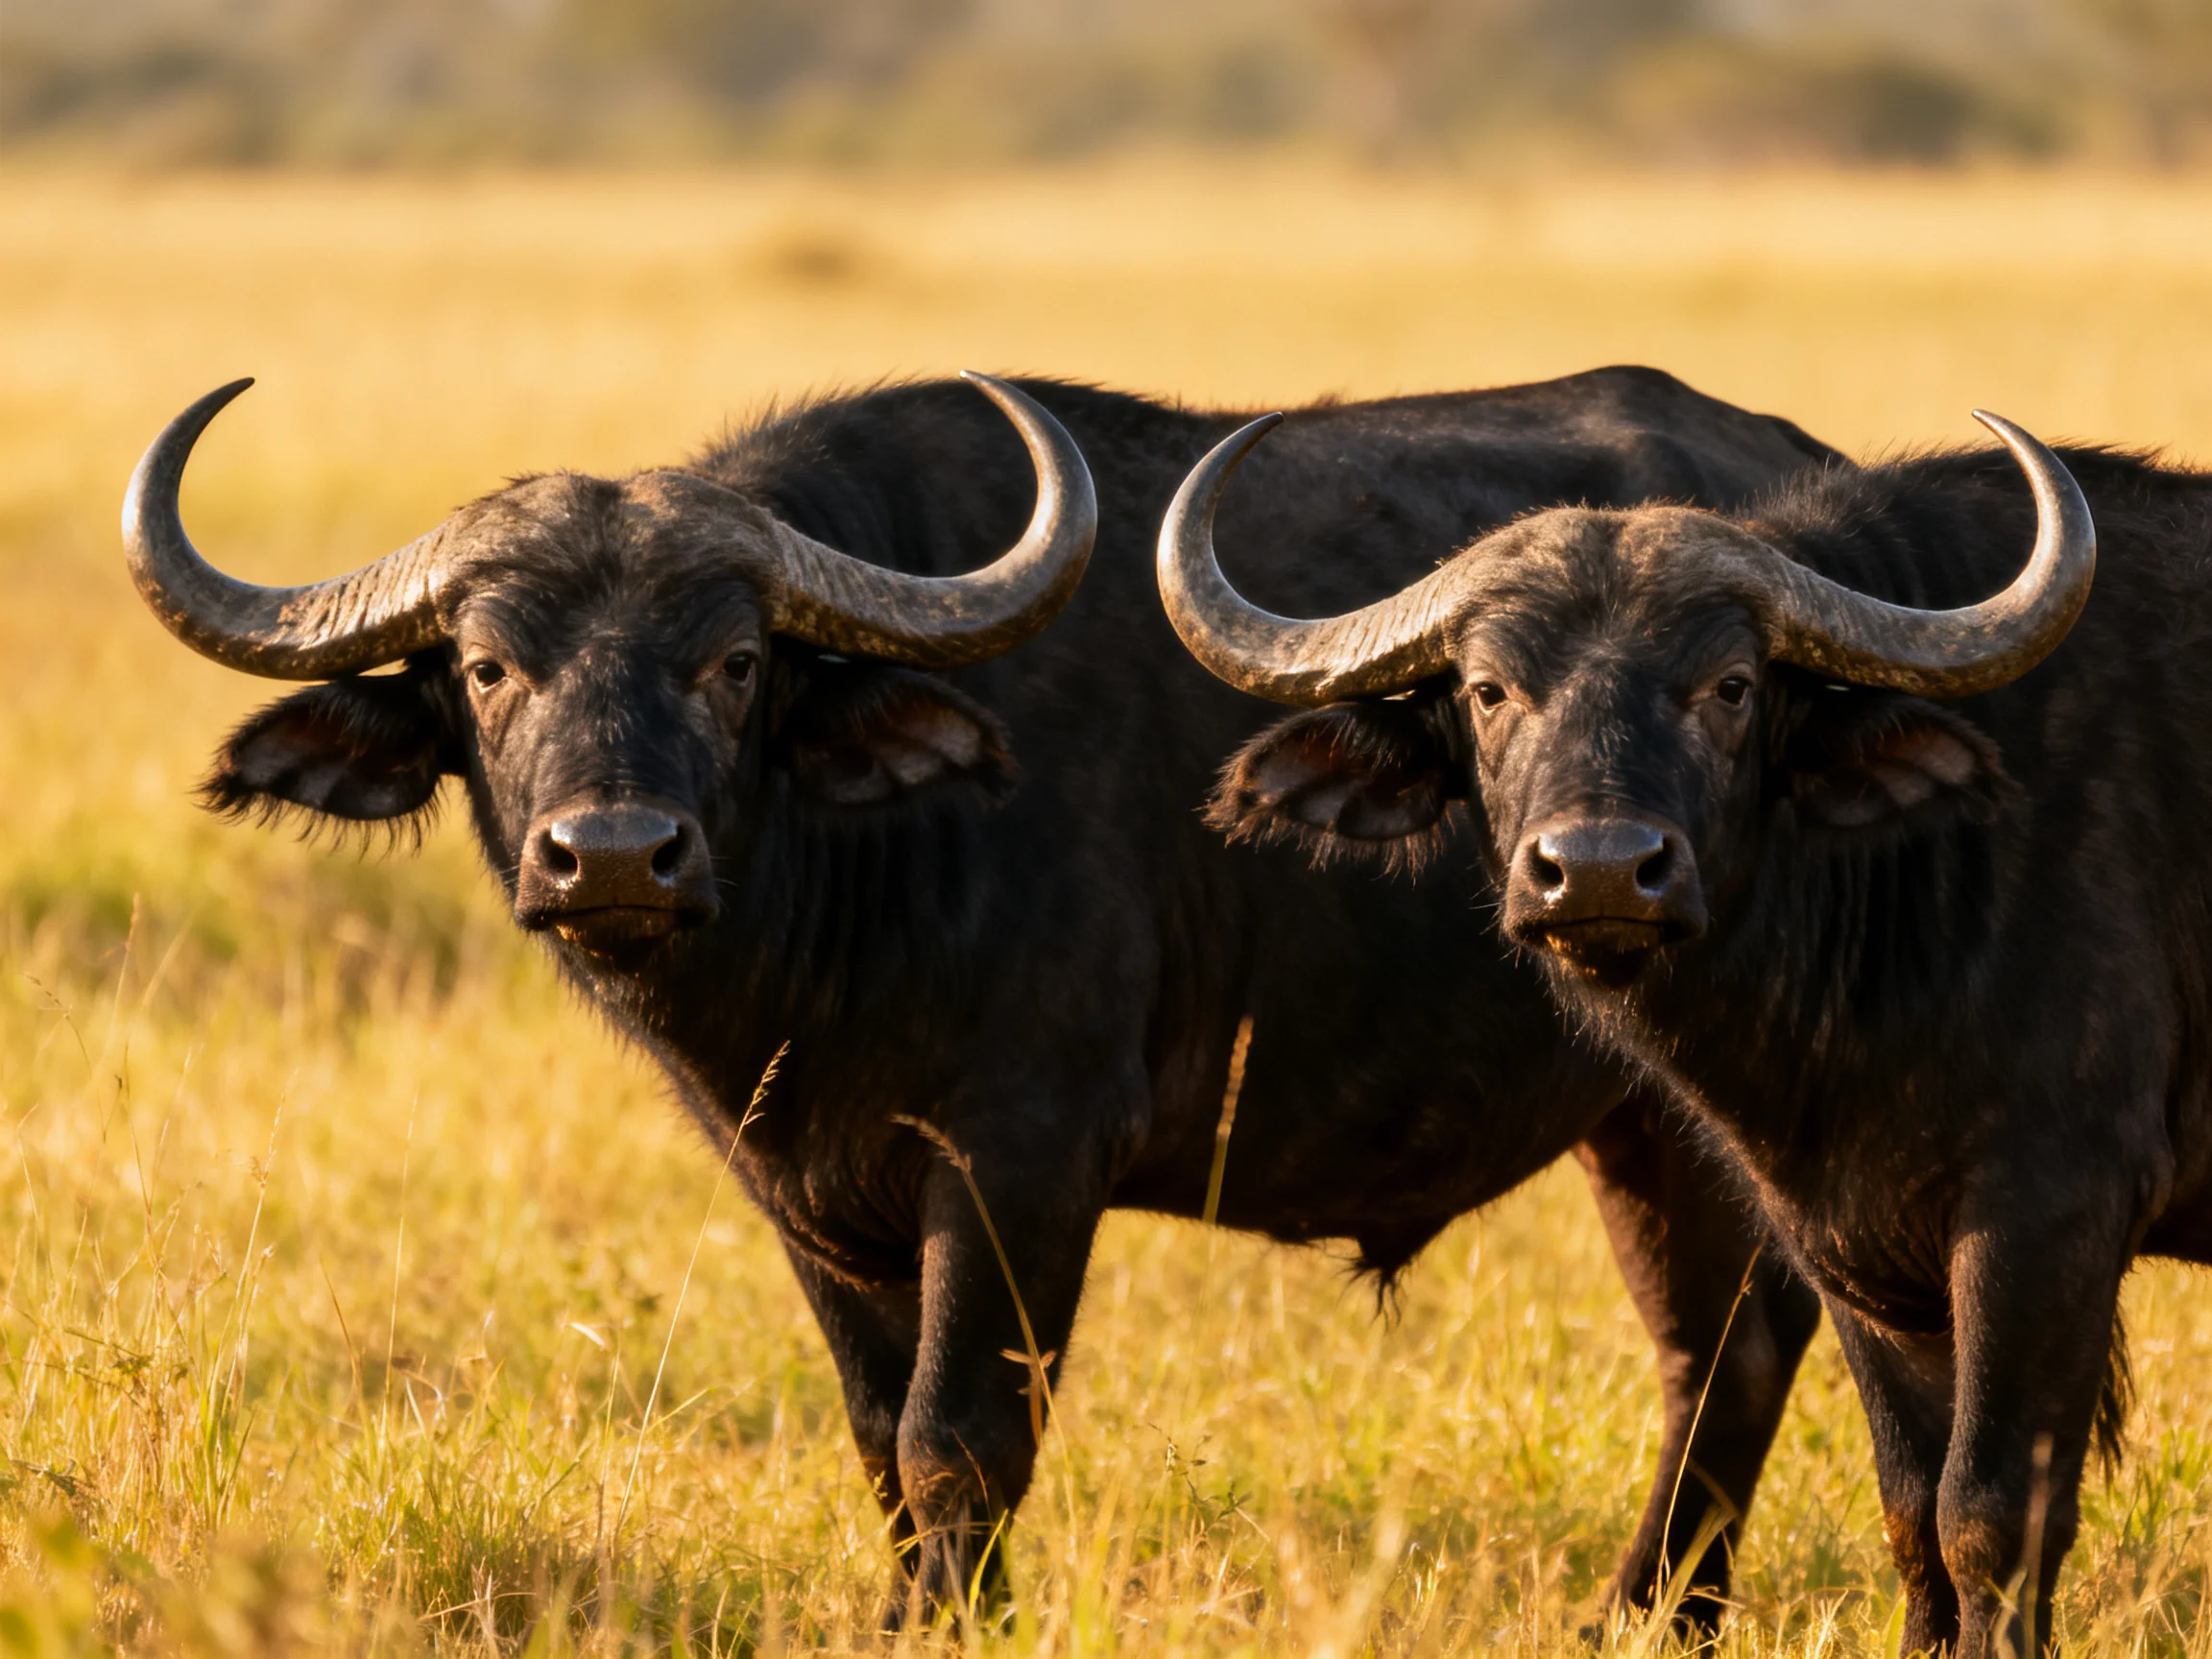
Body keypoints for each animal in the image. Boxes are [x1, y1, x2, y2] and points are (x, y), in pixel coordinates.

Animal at [127, 367, 1831, 1626]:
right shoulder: (806, 1190)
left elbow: (961, 1439)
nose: (611, 852)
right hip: (1640, 1118)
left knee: (1739, 1343)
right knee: (1713, 1350)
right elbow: (881, 1436)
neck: (840, 896)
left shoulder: (1022, 1159)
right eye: (487, 666)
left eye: (734, 661)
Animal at [1162, 410, 2212, 1653]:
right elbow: (1914, 1512)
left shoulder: (2050, 1216)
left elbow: (1991, 1518)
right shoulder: (1855, 1243)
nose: (1600, 871)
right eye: (1487, 689)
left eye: (1731, 686)